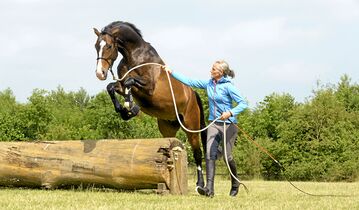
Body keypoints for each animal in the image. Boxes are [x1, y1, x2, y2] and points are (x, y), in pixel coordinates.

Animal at [94, 20, 207, 189]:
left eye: (108, 46)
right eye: (96, 46)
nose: (100, 73)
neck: (133, 55)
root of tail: (192, 93)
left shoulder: (149, 86)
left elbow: (130, 82)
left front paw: (131, 107)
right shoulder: (120, 84)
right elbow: (113, 87)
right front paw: (124, 111)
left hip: (190, 124)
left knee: (197, 152)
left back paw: (201, 187)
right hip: (168, 125)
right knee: (170, 143)